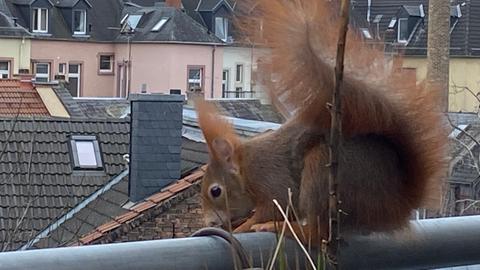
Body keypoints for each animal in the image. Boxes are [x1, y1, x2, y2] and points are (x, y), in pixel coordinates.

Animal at [194, 0, 446, 244]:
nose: (210, 222)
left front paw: (243, 227)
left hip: (322, 172)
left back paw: (286, 229)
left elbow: (273, 208)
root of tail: (396, 205)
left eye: (216, 191)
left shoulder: (270, 178)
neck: (245, 168)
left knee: (318, 233)